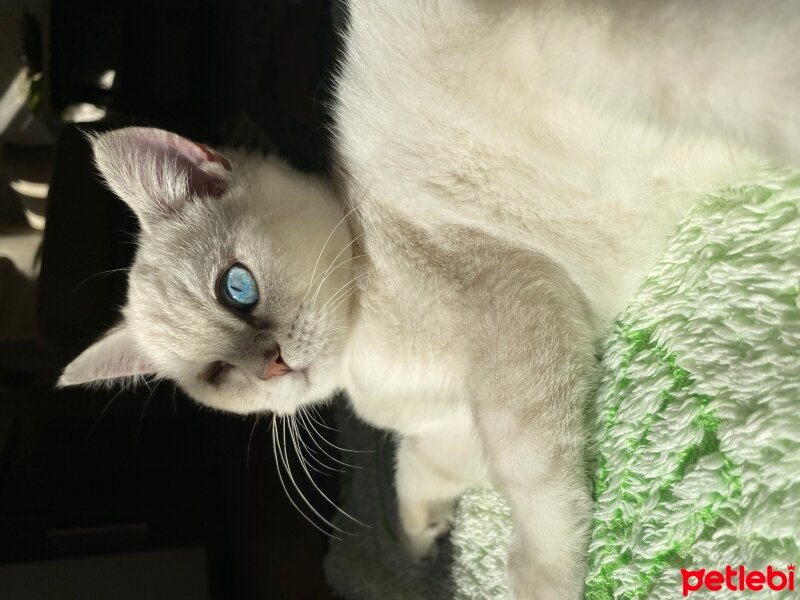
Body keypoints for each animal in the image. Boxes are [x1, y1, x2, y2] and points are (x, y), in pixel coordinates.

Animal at [59, 2, 796, 596]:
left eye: (235, 288)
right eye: (216, 374)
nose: (271, 364)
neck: (367, 359)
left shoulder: (515, 318)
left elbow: (536, 486)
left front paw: (541, 579)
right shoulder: (458, 425)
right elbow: (418, 471)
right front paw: (420, 542)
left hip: (637, 61)